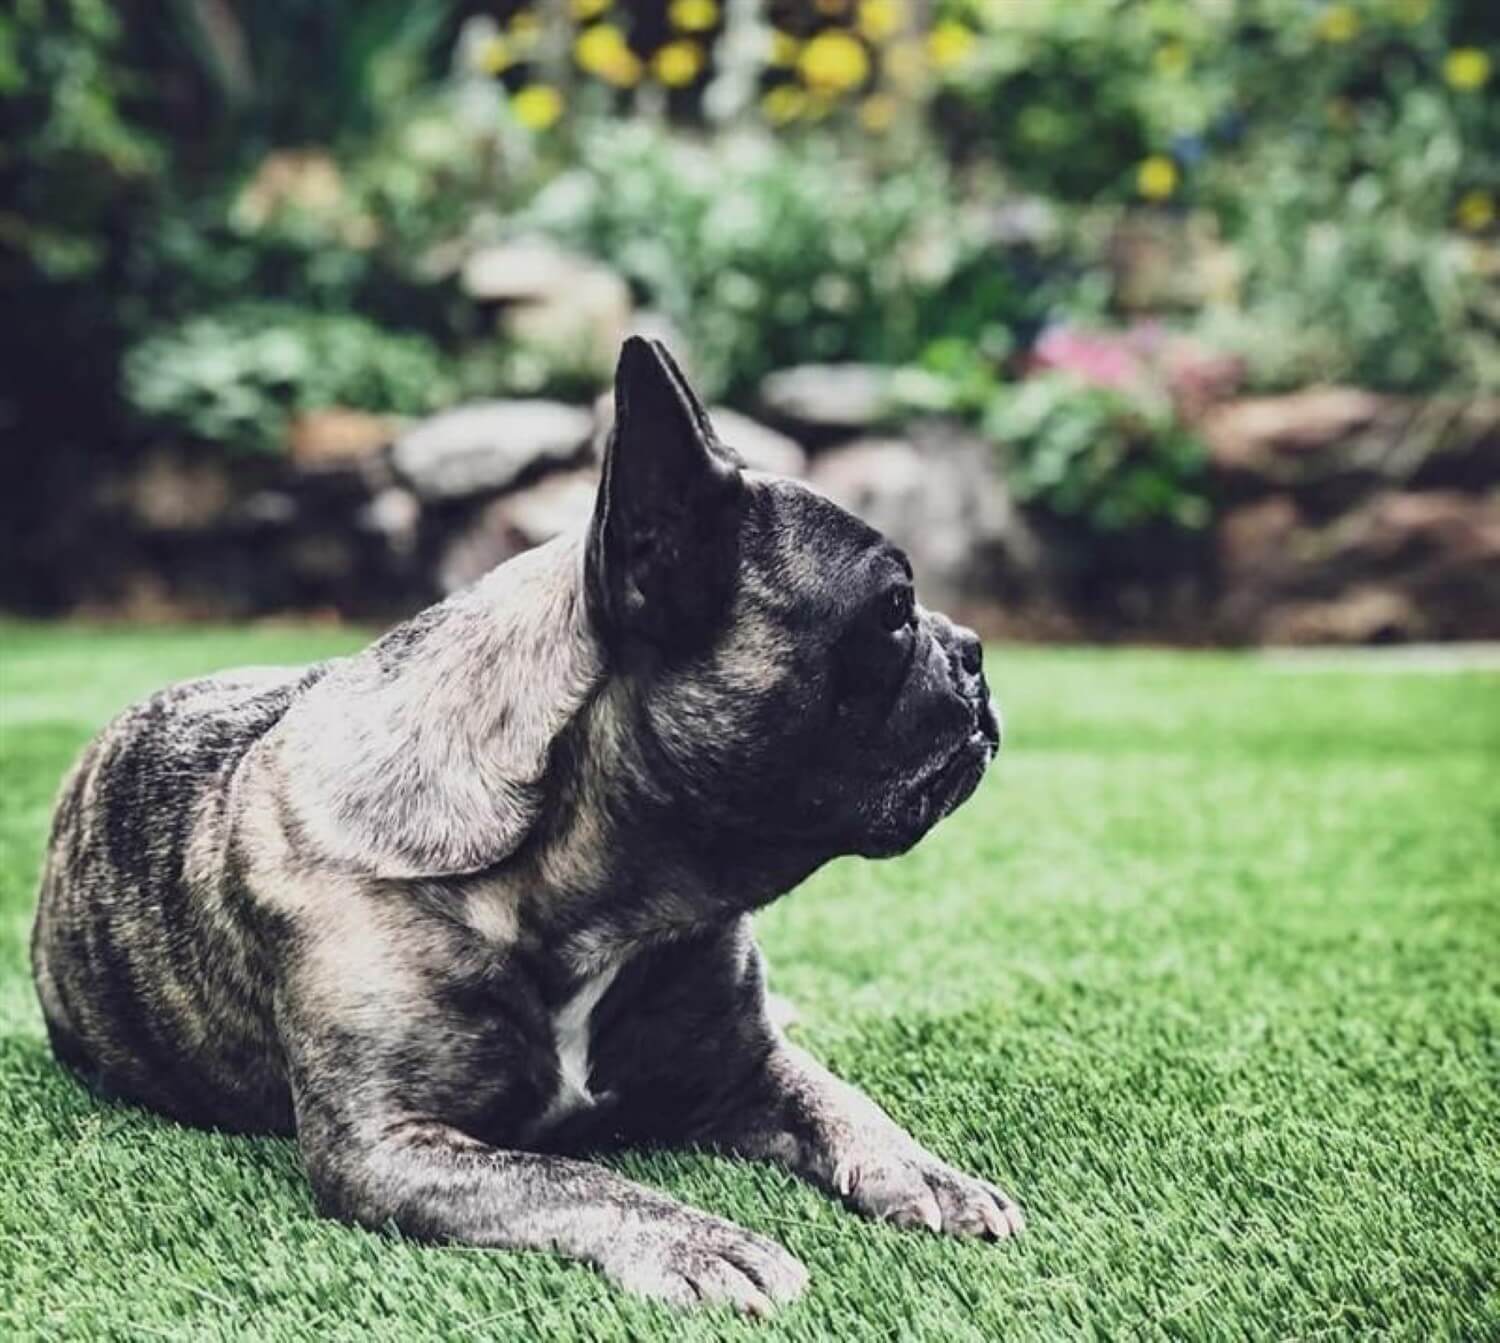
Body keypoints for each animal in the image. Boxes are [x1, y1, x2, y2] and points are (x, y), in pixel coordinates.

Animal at [32, 336, 1020, 1314]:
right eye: (893, 610)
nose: (972, 650)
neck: (584, 886)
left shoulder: (743, 1062)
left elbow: (837, 1098)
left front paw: (931, 1173)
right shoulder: (389, 1142)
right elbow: (572, 1178)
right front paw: (703, 1240)